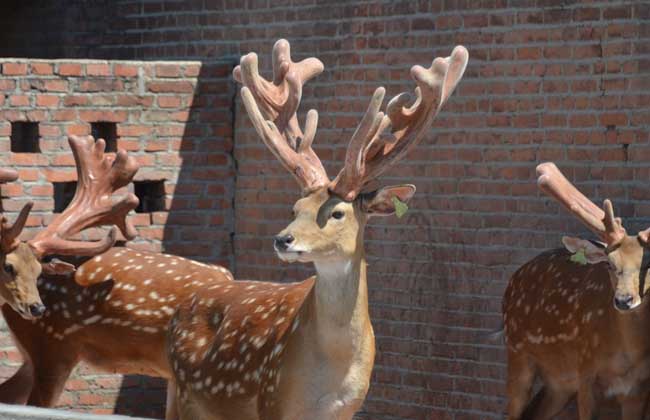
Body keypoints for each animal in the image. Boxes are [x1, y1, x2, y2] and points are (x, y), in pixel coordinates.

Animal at [165, 39, 468, 420]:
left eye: (337, 212)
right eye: (295, 209)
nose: (282, 239)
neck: (332, 372)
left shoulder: (350, 406)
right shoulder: (272, 398)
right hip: (184, 395)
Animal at [503, 162, 650, 419]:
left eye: (647, 264)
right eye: (610, 263)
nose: (624, 300)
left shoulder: (638, 389)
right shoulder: (585, 372)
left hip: (559, 384)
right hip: (517, 353)